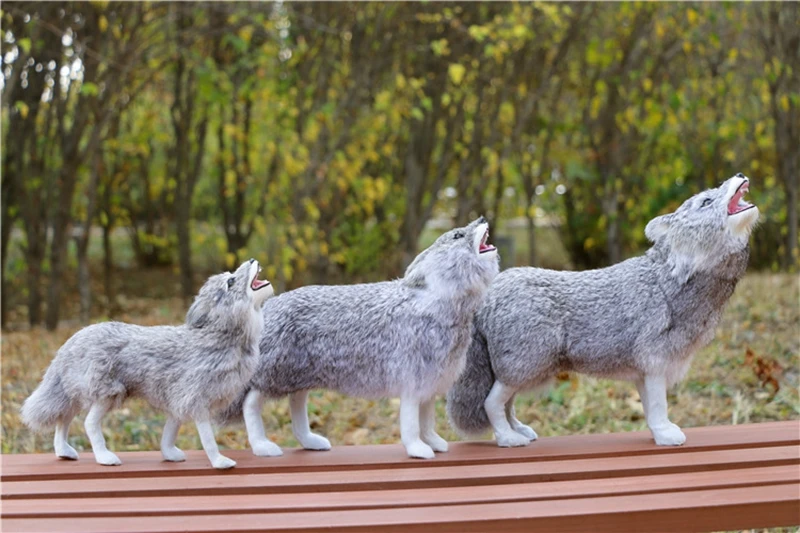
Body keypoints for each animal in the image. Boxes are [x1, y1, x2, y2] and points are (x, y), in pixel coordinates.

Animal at [21, 259, 274, 469]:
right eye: (230, 281)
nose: (252, 259)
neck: (219, 334)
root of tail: (70, 343)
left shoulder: (178, 402)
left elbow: (169, 432)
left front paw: (170, 455)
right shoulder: (196, 400)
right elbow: (208, 439)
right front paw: (220, 462)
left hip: (75, 393)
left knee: (63, 419)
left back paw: (64, 451)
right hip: (107, 393)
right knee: (88, 423)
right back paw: (105, 458)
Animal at [220, 217, 499, 459]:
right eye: (457, 235)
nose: (483, 218)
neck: (435, 298)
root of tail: (268, 311)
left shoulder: (429, 384)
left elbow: (427, 420)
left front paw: (436, 444)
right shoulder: (411, 382)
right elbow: (411, 422)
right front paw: (419, 451)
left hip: (298, 377)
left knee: (296, 409)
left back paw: (313, 442)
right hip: (274, 375)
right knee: (250, 403)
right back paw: (263, 447)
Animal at [447, 174, 759, 447]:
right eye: (706, 201)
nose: (740, 175)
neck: (667, 283)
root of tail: (490, 293)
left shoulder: (643, 373)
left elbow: (649, 410)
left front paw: (657, 432)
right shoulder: (655, 364)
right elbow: (659, 407)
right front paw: (665, 435)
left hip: (519, 374)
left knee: (506, 404)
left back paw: (519, 431)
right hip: (522, 370)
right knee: (491, 403)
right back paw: (508, 439)